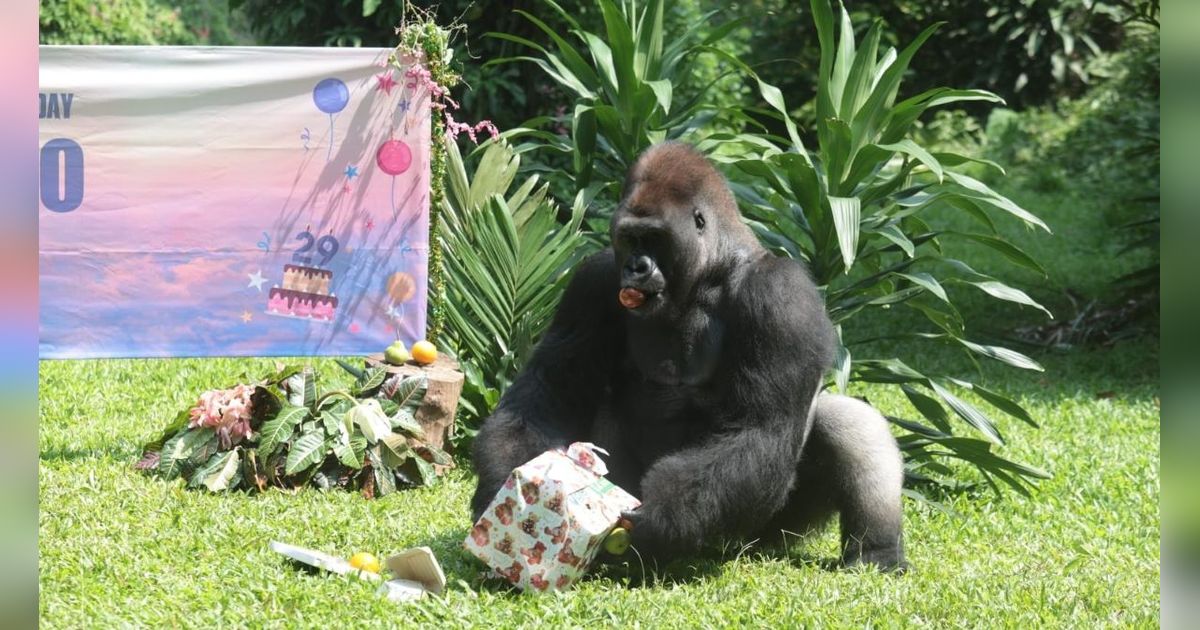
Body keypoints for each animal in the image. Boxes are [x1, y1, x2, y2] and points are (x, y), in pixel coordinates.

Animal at [472, 141, 902, 568]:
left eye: (654, 238)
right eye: (629, 238)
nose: (636, 267)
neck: (710, 268)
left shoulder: (782, 297)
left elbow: (758, 427)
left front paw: (664, 517)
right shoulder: (591, 282)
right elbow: (546, 393)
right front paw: (502, 485)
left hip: (761, 529)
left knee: (846, 420)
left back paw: (877, 551)